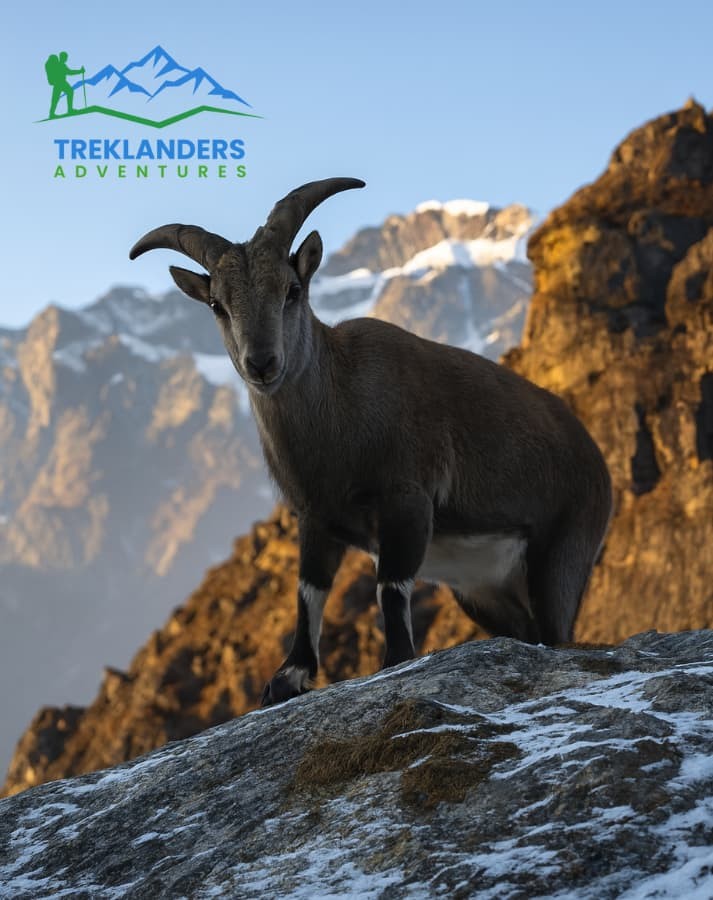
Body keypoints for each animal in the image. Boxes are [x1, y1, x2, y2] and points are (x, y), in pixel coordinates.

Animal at [130, 177, 613, 706]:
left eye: (292, 289)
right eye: (218, 304)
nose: (261, 363)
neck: (340, 414)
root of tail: (594, 457)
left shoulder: (408, 500)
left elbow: (390, 586)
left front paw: (395, 660)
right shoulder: (315, 518)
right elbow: (309, 590)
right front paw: (289, 676)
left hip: (562, 552)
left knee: (555, 629)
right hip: (483, 589)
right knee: (524, 630)